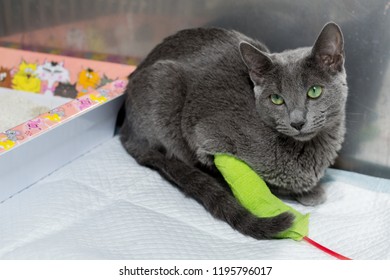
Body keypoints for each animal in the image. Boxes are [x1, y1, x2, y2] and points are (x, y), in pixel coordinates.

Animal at [119, 23, 348, 240]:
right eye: (276, 99)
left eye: (314, 91)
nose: (297, 122)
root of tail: (125, 127)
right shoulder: (204, 134)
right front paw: (305, 192)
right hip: (165, 84)